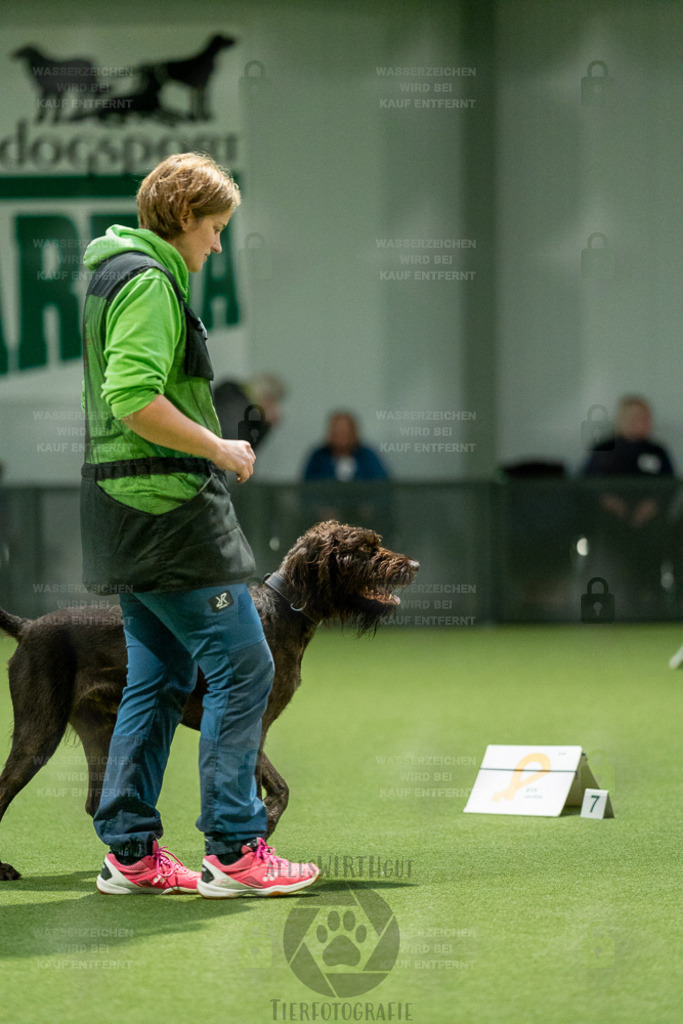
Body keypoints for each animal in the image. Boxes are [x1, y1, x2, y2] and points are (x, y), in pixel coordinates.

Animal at [0, 524, 419, 876]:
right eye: (365, 549)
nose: (414, 564)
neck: (284, 609)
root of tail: (28, 627)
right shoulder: (248, 723)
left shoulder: (254, 726)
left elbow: (279, 788)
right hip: (39, 733)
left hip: (101, 732)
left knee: (96, 802)